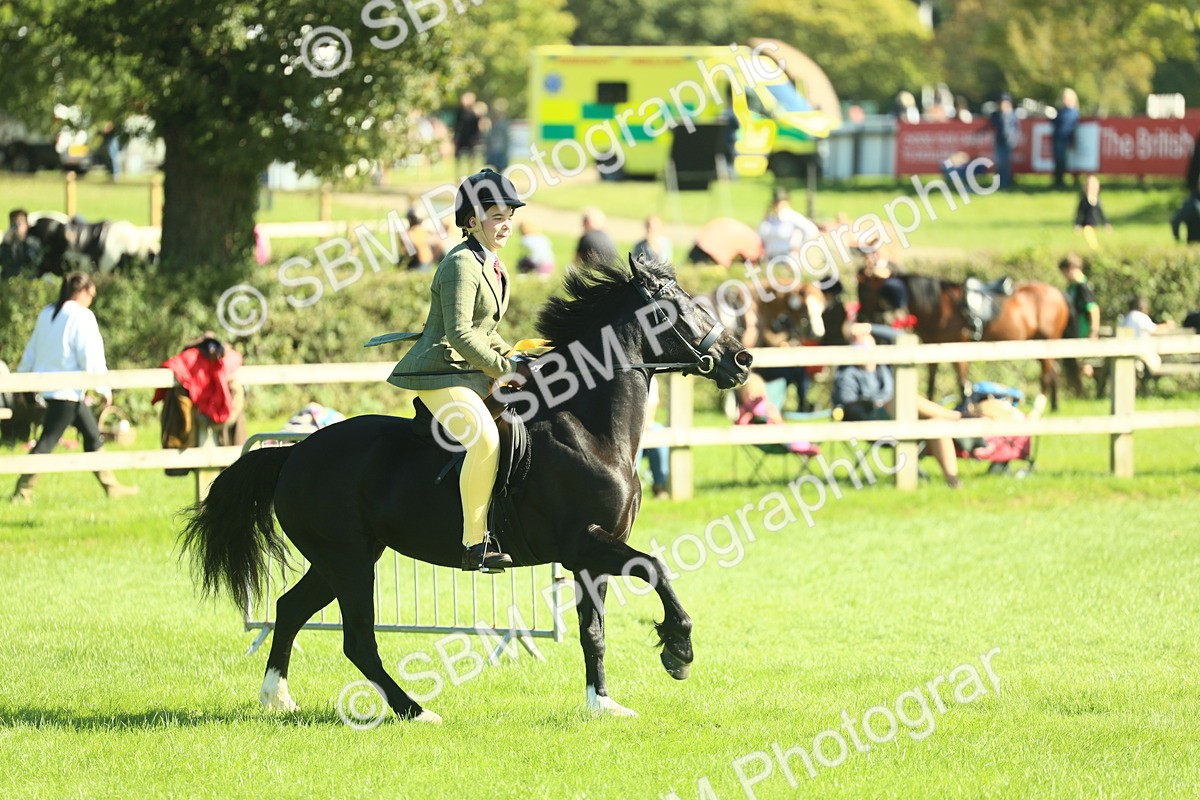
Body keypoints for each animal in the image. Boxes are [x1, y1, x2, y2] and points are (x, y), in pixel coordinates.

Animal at [179, 255, 752, 723]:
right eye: (679, 309)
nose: (741, 361)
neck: (588, 428)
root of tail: (294, 454)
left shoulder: (592, 556)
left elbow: (594, 630)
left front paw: (602, 704)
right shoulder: (584, 543)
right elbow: (656, 568)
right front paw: (678, 650)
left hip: (341, 558)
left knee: (290, 609)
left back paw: (277, 697)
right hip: (349, 561)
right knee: (357, 639)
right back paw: (414, 710)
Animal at [859, 272, 1071, 410]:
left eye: (864, 293)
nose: (861, 318)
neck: (938, 307)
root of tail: (1058, 292)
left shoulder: (957, 349)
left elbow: (963, 383)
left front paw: (964, 409)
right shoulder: (932, 349)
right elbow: (931, 381)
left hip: (1045, 344)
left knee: (1047, 375)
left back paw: (1040, 406)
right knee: (1055, 372)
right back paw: (1054, 407)